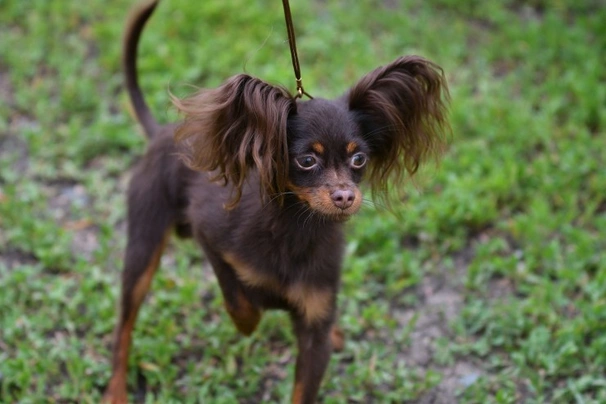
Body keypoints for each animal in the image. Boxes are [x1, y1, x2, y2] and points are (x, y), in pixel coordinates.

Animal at [104, 1, 448, 402]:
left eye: (359, 159)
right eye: (307, 160)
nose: (345, 196)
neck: (297, 228)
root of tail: (161, 133)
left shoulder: (315, 328)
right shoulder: (210, 236)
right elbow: (237, 297)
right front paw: (247, 321)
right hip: (143, 246)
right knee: (124, 326)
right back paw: (115, 390)